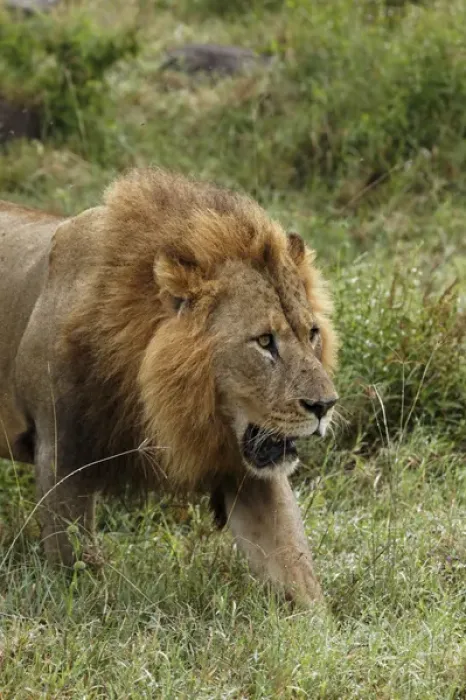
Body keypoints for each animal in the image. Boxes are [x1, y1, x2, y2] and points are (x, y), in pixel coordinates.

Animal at [0, 169, 338, 606]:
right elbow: (78, 571)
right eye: (265, 341)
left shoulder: (247, 467)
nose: (325, 405)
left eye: (312, 333)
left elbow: (295, 567)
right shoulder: (59, 453)